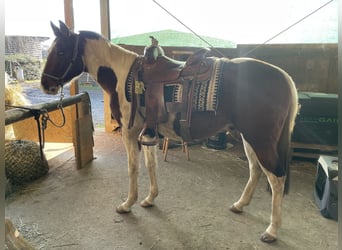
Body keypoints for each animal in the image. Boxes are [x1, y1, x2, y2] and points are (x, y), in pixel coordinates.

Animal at [40, 20, 296, 243]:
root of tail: (284, 77)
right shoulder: (148, 132)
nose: (45, 84)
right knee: (256, 170)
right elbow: (151, 164)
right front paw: (149, 199)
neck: (123, 76)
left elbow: (133, 168)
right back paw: (240, 205)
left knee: (276, 177)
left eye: (60, 52)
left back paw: (272, 230)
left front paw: (127, 204)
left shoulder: (130, 133)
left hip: (260, 139)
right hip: (248, 137)